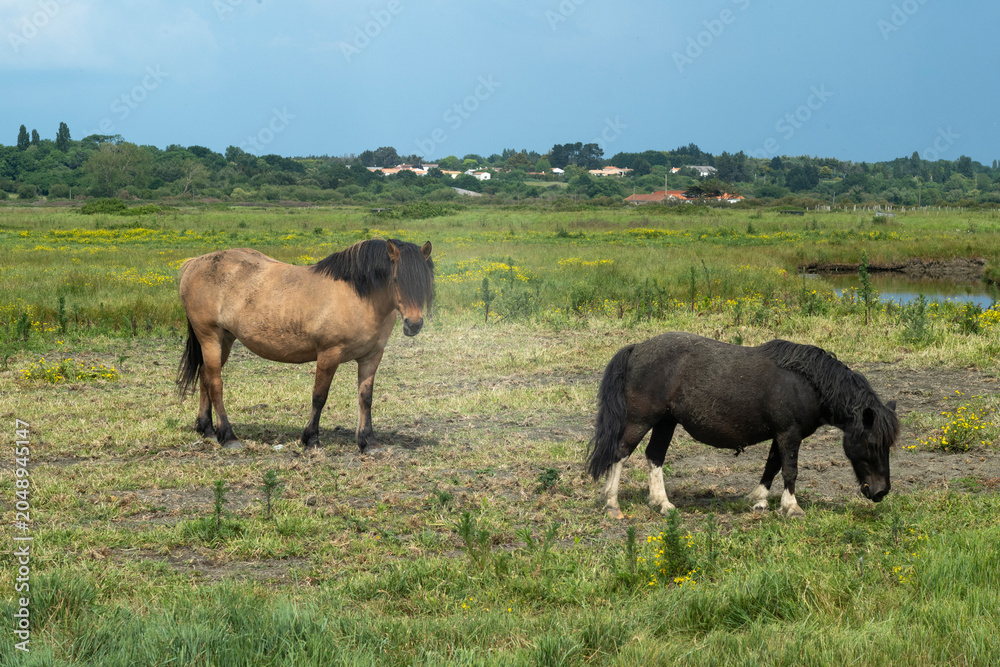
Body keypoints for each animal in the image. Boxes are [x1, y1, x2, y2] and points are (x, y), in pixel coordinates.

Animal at [176, 238, 434, 452]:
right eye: (397, 279)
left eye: (425, 281)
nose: (413, 324)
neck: (358, 296)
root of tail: (193, 263)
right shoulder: (329, 354)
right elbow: (319, 396)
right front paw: (311, 440)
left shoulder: (371, 357)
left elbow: (365, 398)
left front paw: (368, 442)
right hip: (210, 337)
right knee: (215, 383)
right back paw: (228, 437)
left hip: (224, 340)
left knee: (205, 376)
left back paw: (207, 430)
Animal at [586, 332, 899, 518]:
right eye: (872, 444)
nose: (881, 491)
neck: (806, 383)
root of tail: (637, 348)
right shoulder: (789, 434)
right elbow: (790, 470)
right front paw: (792, 507)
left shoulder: (781, 435)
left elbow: (772, 466)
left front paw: (759, 500)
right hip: (641, 420)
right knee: (620, 454)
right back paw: (612, 505)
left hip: (665, 422)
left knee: (654, 456)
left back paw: (663, 504)